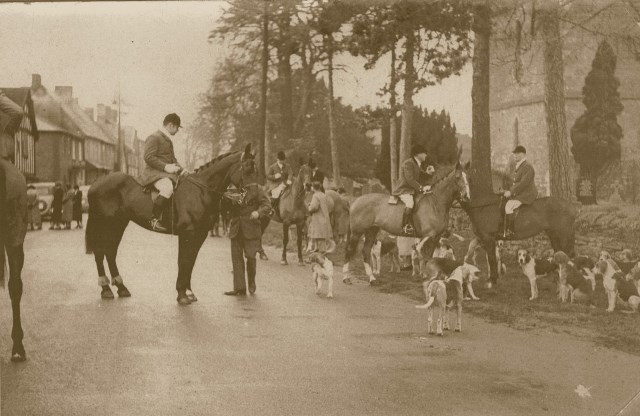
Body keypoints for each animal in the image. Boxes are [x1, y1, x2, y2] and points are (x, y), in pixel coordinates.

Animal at [86, 145, 256, 304]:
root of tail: (95, 184)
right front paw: (182, 294)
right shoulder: (187, 233)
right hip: (105, 224)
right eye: (247, 168)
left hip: (118, 224)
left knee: (110, 252)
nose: (252, 198)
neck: (200, 191)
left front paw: (188, 292)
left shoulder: (200, 235)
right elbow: (183, 261)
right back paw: (106, 289)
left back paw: (121, 288)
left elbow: (191, 261)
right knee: (100, 252)